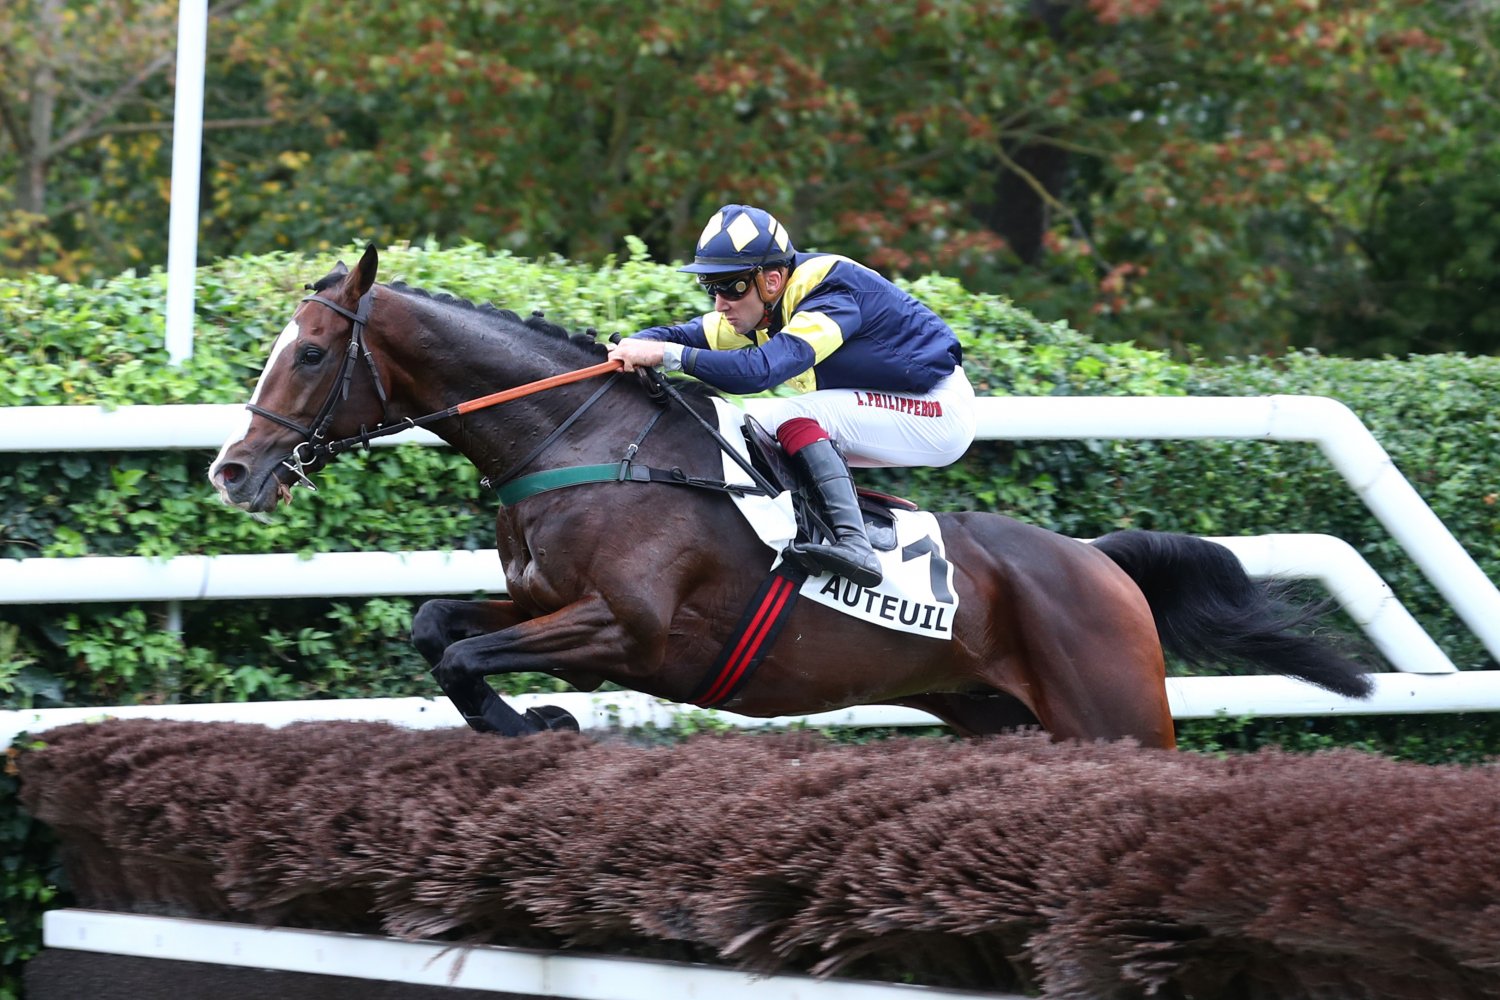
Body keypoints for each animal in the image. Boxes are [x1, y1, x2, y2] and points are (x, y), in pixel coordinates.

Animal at [208, 245, 1374, 748]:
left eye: (310, 353)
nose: (232, 471)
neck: (583, 443)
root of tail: (1097, 564)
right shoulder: (543, 602)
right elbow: (435, 624)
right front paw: (522, 717)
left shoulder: (628, 630)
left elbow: (462, 653)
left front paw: (531, 718)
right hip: (997, 715)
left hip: (1118, 715)